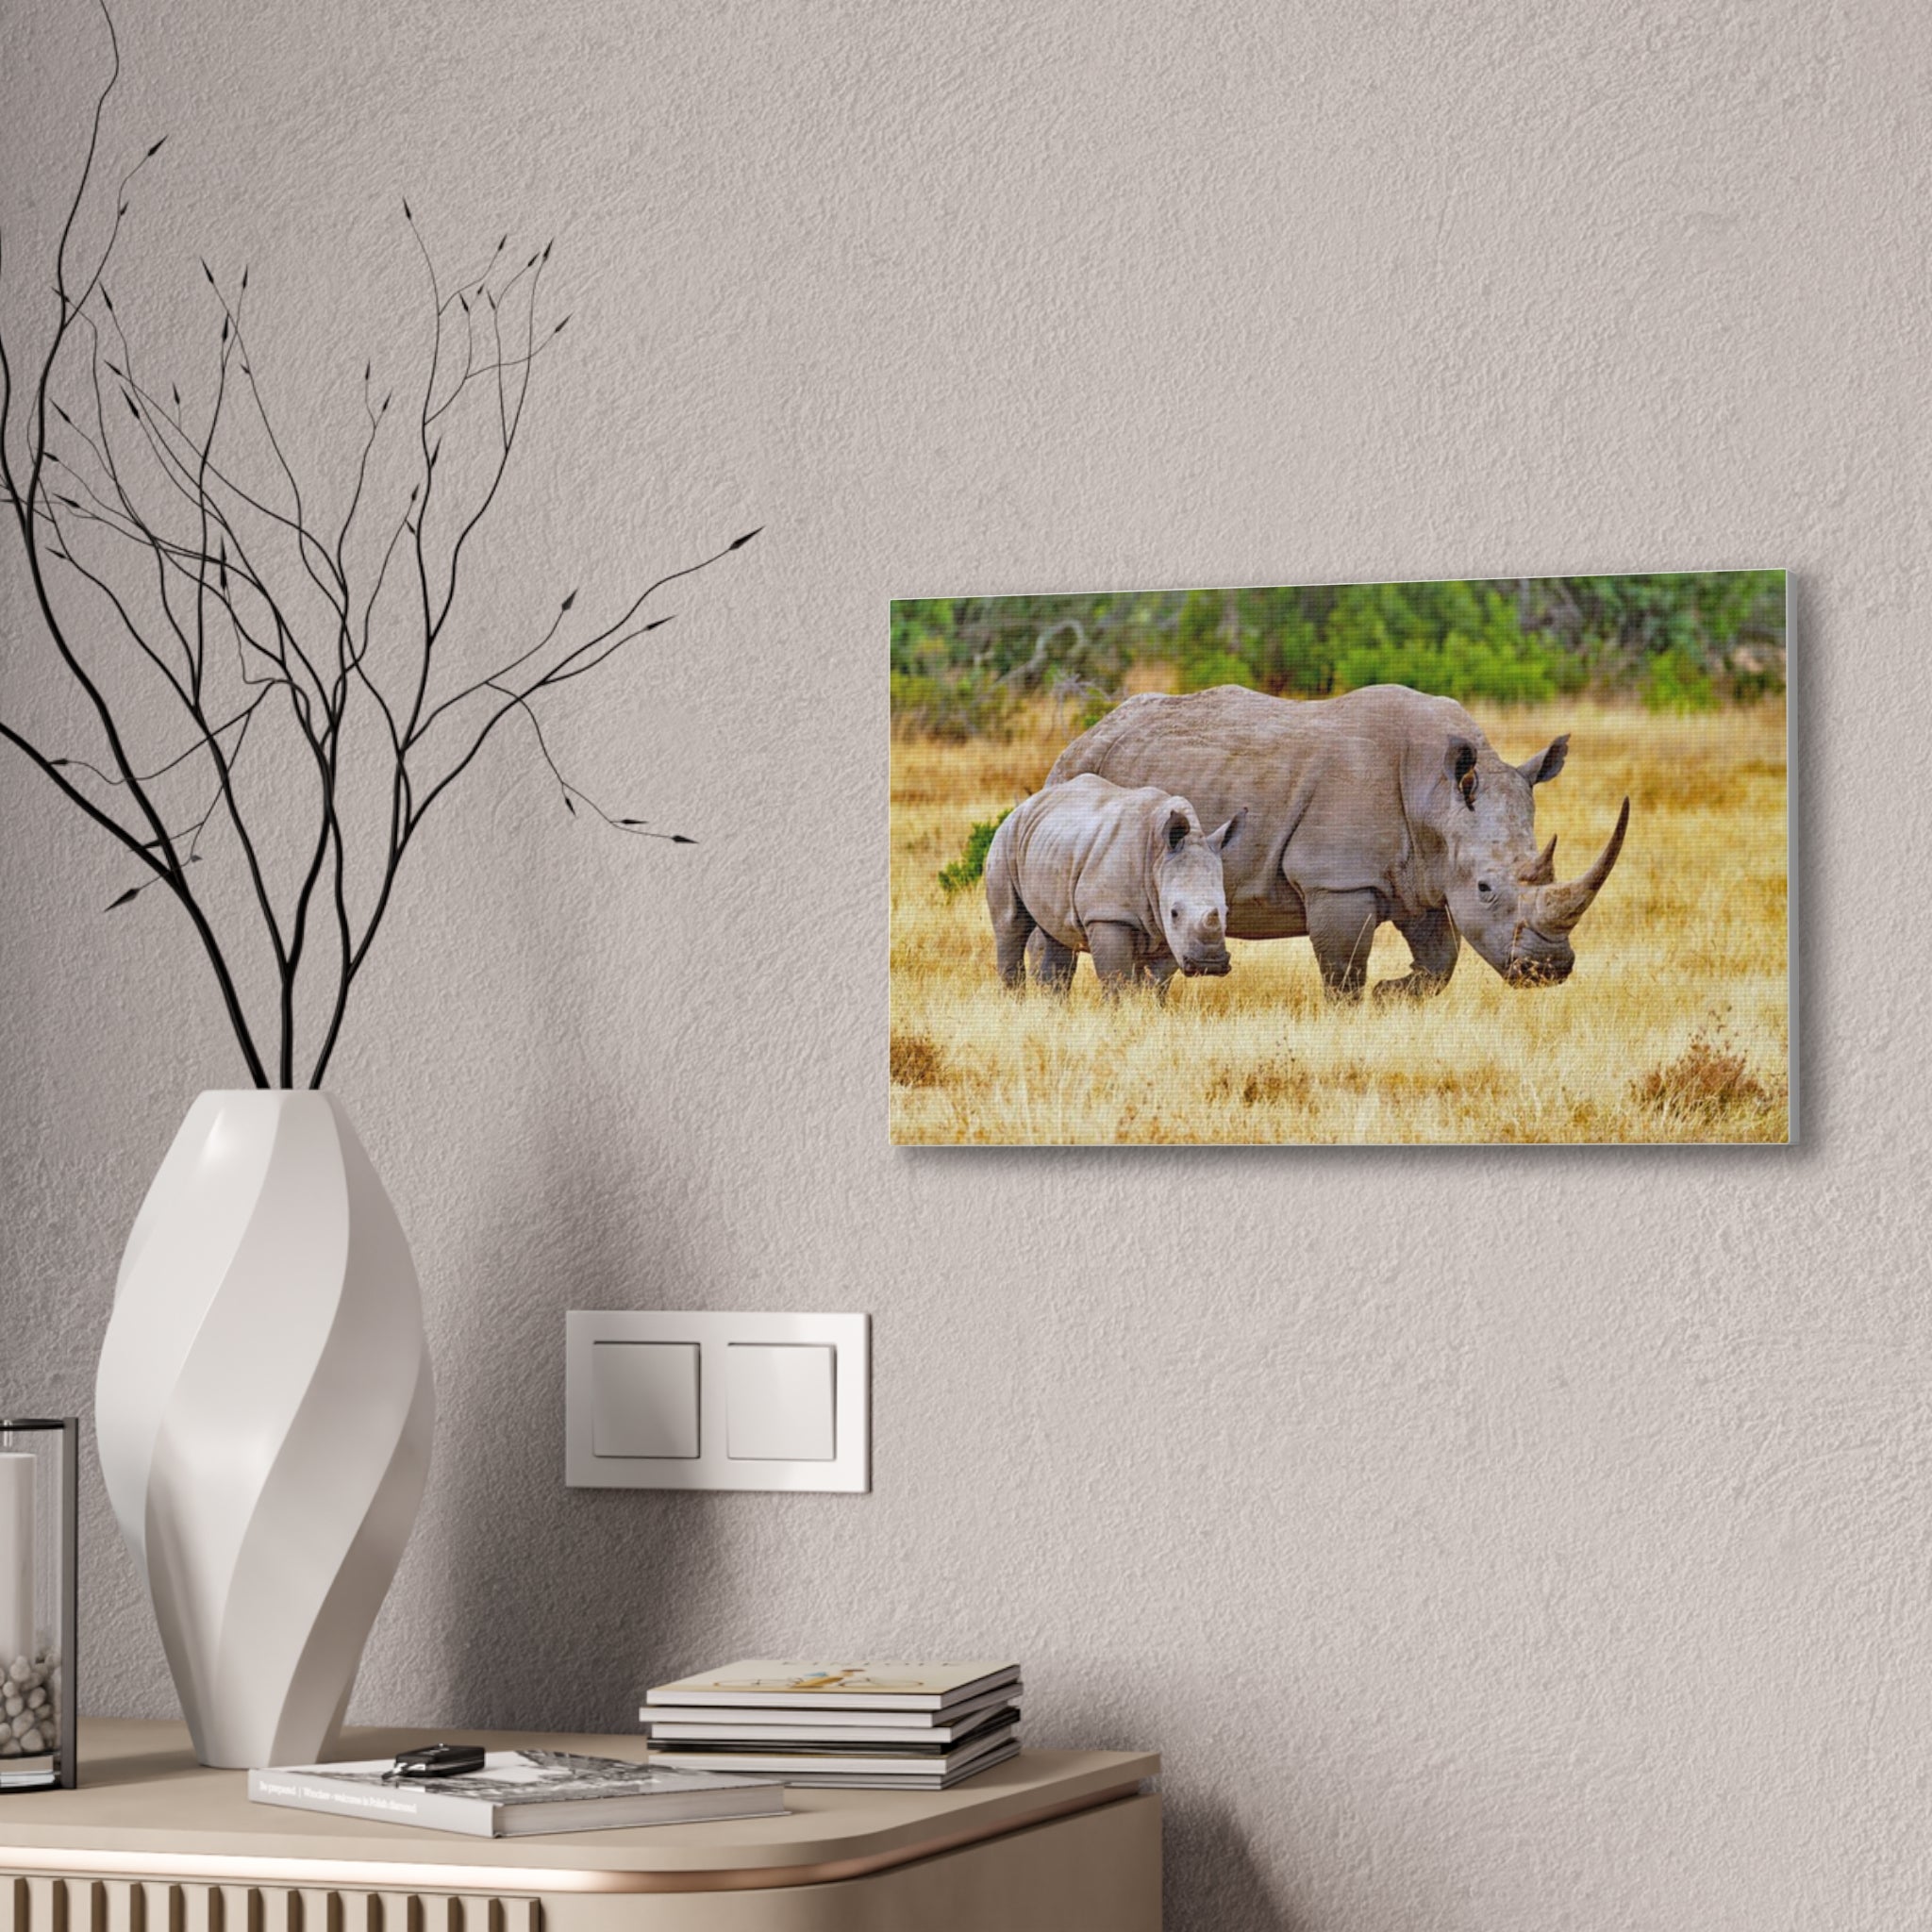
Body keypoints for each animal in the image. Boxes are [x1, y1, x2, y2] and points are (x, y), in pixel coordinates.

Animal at [985, 773, 1245, 995]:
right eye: (1174, 912)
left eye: (1226, 912)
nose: (1209, 964)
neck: (1158, 857)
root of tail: (1024, 806)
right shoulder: (1108, 914)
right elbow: (1116, 979)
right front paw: (1117, 1013)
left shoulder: (1168, 929)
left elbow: (1157, 983)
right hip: (1005, 839)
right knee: (1011, 925)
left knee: (1057, 937)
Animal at [1042, 684, 1629, 998]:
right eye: (1486, 888)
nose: (1548, 970)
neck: (1436, 796)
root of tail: (1085, 733)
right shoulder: (1338, 880)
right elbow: (1344, 970)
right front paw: (1361, 1009)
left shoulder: (1420, 875)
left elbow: (1441, 960)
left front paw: (1393, 995)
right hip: (1073, 777)